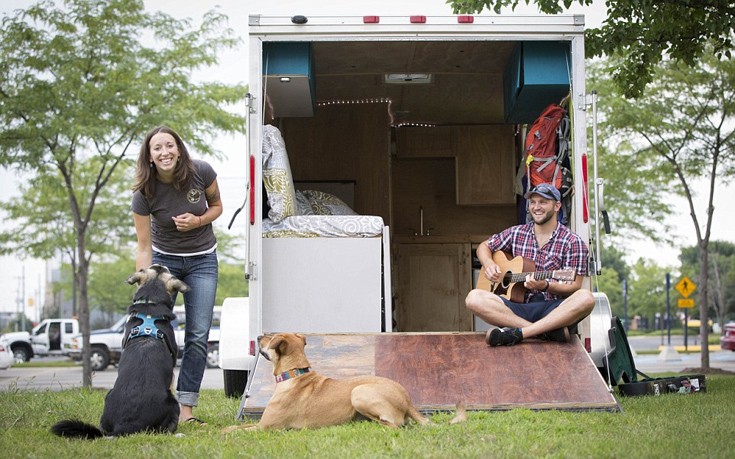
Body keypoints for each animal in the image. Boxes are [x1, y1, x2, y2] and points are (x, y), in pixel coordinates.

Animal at [51, 266, 188, 438]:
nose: (163, 264)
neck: (151, 303)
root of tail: (125, 425)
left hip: (107, 397)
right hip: (173, 404)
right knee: (164, 430)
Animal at [224, 334, 462, 432]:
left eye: (270, 338)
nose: (259, 336)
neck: (294, 373)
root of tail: (408, 400)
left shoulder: (266, 427)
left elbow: (238, 430)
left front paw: (224, 433)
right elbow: (236, 426)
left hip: (359, 392)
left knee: (396, 425)